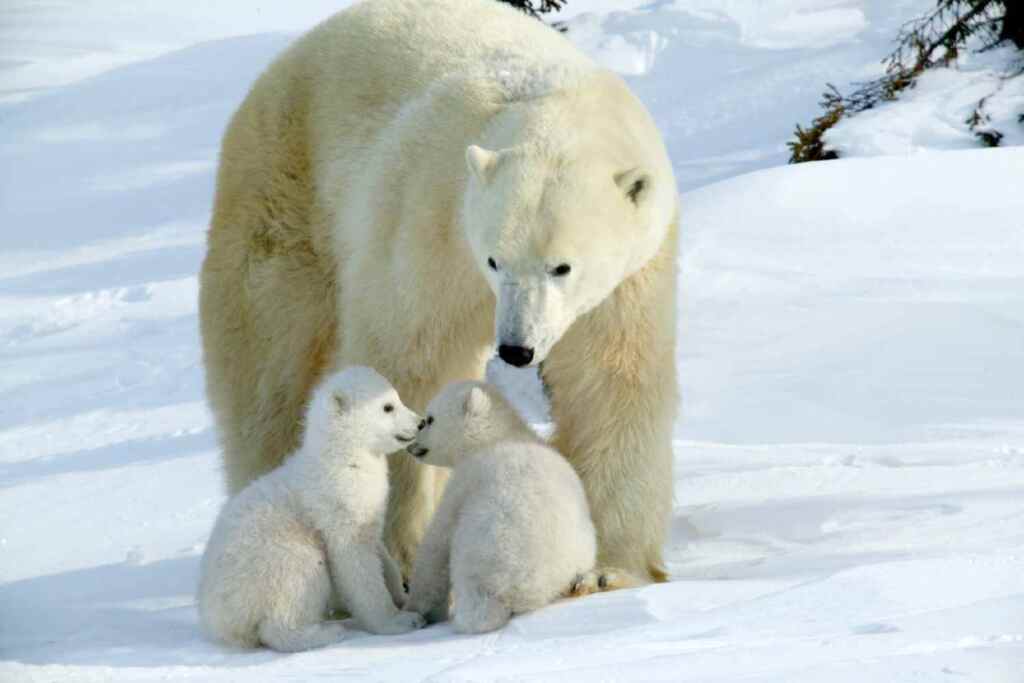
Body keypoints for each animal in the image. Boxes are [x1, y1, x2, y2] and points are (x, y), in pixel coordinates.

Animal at [197, 366, 426, 652]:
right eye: (387, 406)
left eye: (396, 397)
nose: (421, 422)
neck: (343, 457)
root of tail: (219, 621)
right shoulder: (337, 504)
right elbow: (356, 564)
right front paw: (399, 621)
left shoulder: (367, 507)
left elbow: (379, 551)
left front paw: (402, 594)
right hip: (273, 559)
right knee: (296, 584)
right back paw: (326, 632)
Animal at [199, 0, 679, 585]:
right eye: (495, 259)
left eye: (562, 267)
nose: (516, 349)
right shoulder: (430, 219)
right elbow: (409, 359)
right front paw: (403, 551)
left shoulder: (630, 276)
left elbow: (610, 382)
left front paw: (612, 567)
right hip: (284, 193)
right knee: (268, 370)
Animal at [404, 381, 598, 632]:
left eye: (429, 419)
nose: (411, 445)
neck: (499, 436)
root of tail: (519, 592)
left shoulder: (466, 479)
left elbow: (436, 544)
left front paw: (415, 608)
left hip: (481, 553)